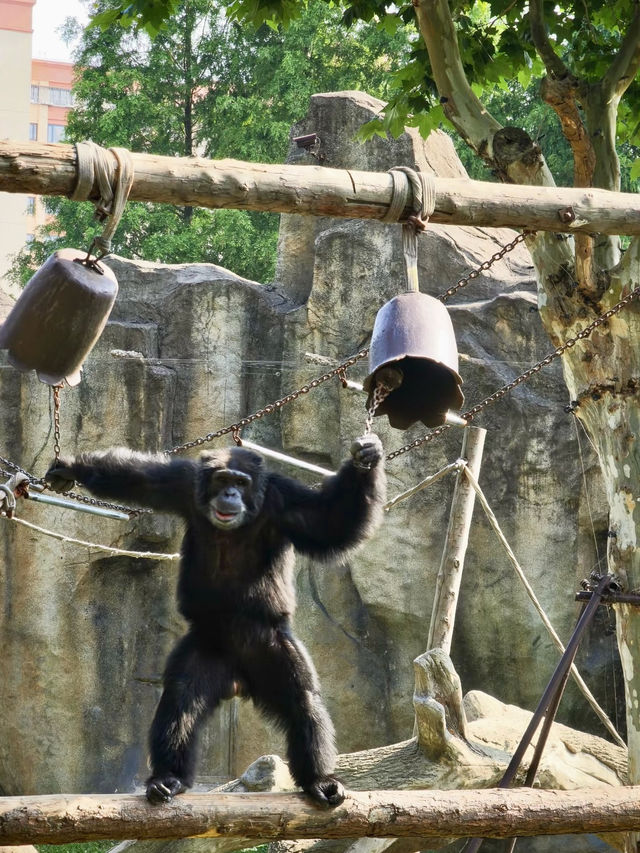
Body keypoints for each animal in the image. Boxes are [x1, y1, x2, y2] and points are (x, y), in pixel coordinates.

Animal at [47, 436, 384, 808]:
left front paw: (366, 460)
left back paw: (319, 780)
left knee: (303, 701)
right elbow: (136, 478)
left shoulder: (286, 501)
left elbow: (332, 522)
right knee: (179, 701)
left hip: (272, 650)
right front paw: (70, 467)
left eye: (242, 482)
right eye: (223, 480)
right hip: (203, 652)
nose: (230, 494)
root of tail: (237, 679)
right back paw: (167, 778)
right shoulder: (181, 483)